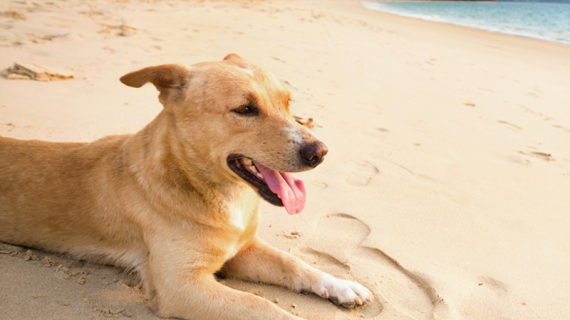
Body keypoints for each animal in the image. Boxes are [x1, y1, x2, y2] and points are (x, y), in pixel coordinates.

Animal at [0, 54, 370, 318]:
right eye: (245, 109)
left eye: (288, 103)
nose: (319, 152)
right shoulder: (182, 287)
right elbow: (262, 306)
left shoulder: (243, 249)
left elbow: (295, 264)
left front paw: (341, 285)